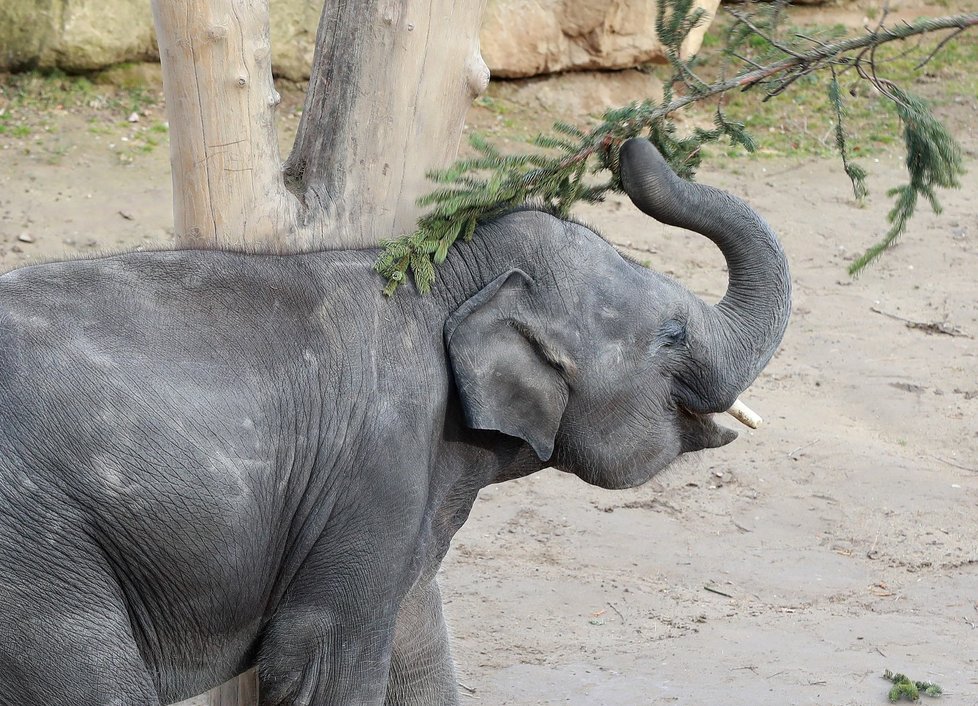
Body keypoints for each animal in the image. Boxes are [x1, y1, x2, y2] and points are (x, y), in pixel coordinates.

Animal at [0, 139, 784, 704]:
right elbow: (326, 654)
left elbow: (418, 636)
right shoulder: (381, 463)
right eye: (673, 336)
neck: (446, 275)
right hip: (39, 557)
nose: (630, 146)